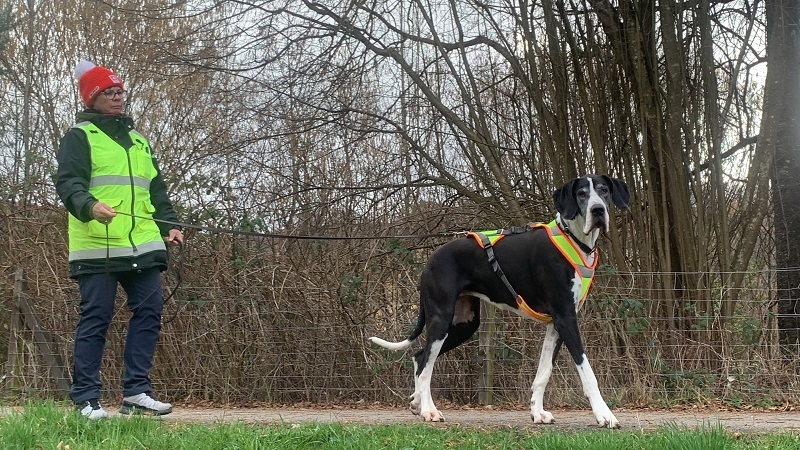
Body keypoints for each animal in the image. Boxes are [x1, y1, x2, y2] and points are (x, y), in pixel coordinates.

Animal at [370, 174, 632, 428]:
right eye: (581, 193)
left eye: (604, 191)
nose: (598, 210)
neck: (574, 239)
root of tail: (432, 257)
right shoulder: (566, 318)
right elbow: (587, 372)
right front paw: (604, 415)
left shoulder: (555, 324)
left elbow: (543, 372)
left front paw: (537, 413)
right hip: (441, 319)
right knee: (426, 363)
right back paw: (429, 410)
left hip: (464, 324)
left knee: (420, 356)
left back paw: (417, 402)